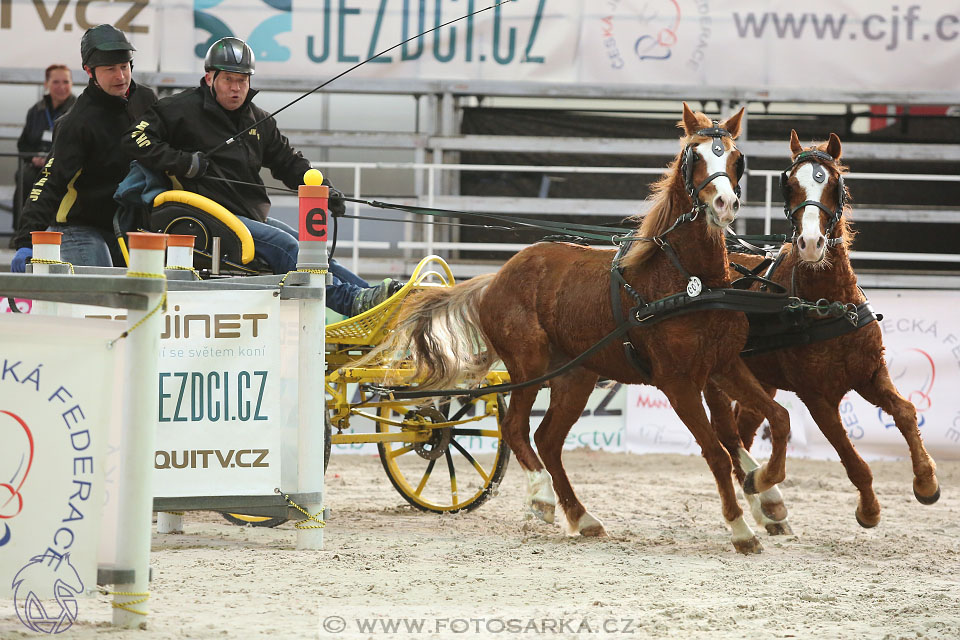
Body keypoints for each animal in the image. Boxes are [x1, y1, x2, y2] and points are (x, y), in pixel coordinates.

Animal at [376, 104, 788, 552]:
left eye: (735, 158)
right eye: (693, 157)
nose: (725, 202)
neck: (689, 281)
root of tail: (497, 277)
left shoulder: (724, 367)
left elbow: (772, 421)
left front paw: (766, 489)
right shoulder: (677, 383)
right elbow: (716, 451)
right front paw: (741, 528)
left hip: (575, 376)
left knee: (548, 440)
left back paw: (582, 516)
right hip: (528, 365)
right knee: (516, 428)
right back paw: (541, 497)